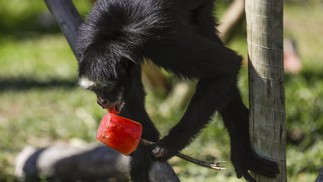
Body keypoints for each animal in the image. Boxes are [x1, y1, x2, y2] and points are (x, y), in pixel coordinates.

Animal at [77, 0, 280, 181]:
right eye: (94, 90)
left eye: (106, 88)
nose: (101, 101)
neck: (111, 34)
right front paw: (144, 145)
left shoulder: (159, 40)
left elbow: (227, 66)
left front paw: (167, 147)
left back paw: (241, 146)